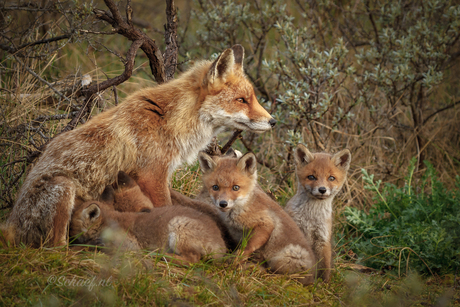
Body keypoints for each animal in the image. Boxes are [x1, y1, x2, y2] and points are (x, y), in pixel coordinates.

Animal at [7, 45, 274, 248]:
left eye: (253, 98)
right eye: (241, 100)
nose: (273, 121)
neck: (170, 119)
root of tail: (11, 224)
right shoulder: (152, 175)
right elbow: (167, 209)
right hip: (64, 187)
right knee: (55, 247)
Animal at [284, 145, 352, 284]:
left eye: (331, 178)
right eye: (311, 177)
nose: (322, 189)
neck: (311, 217)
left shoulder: (322, 238)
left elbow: (324, 266)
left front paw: (323, 284)